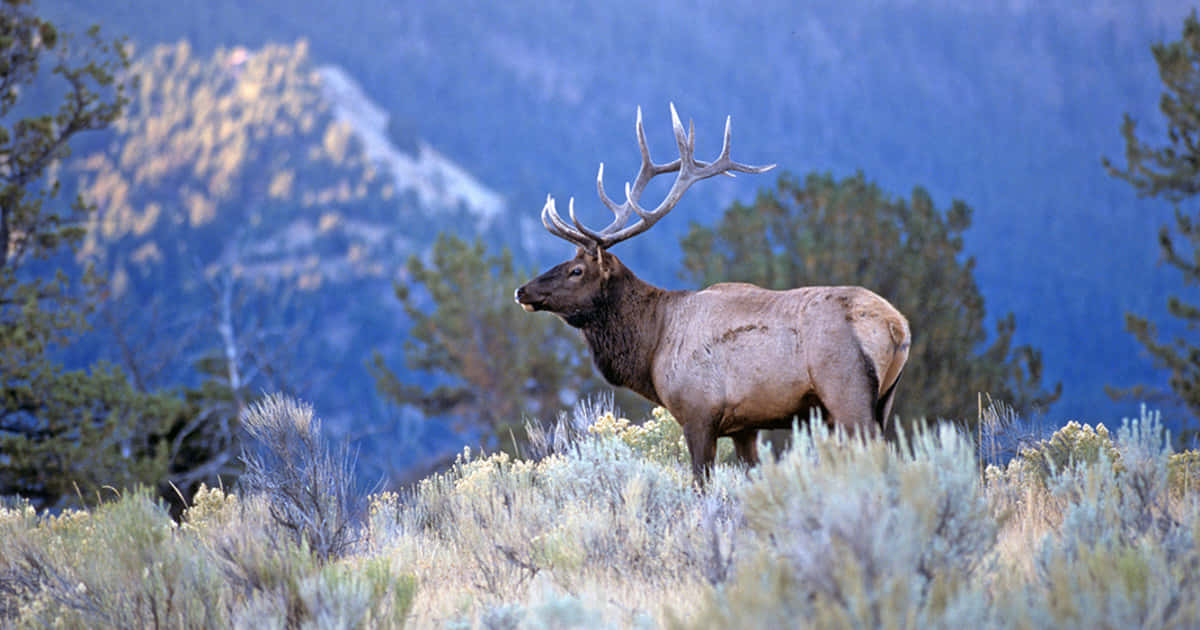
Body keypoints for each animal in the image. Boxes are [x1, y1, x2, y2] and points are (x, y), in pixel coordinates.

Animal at [514, 104, 911, 481]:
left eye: (576, 270)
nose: (522, 291)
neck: (653, 346)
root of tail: (897, 326)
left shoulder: (698, 411)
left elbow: (700, 481)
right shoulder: (745, 425)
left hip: (846, 391)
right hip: (885, 400)